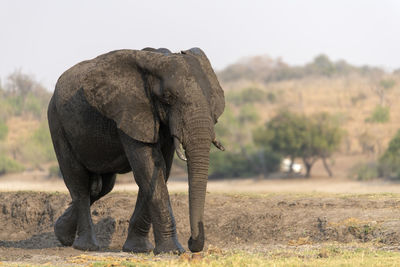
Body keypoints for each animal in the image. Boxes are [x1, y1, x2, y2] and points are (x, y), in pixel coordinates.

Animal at [47, 47, 225, 254]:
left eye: (210, 98)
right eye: (167, 98)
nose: (191, 241)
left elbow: (160, 171)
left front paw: (138, 249)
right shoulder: (129, 114)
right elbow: (149, 168)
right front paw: (172, 251)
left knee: (102, 187)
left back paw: (62, 234)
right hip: (57, 122)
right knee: (79, 182)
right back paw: (86, 246)